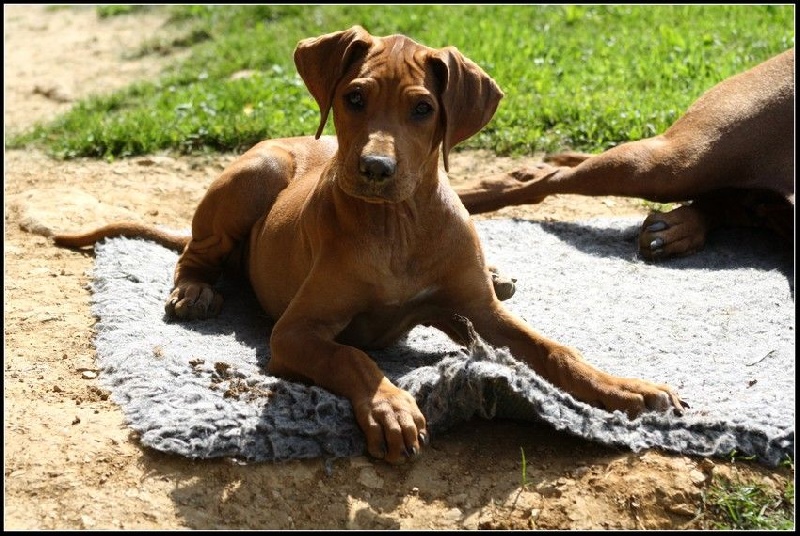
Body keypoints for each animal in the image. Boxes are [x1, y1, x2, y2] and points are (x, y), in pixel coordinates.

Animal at [53, 25, 684, 462]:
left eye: (424, 109)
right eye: (354, 99)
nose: (376, 169)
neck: (396, 224)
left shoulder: (479, 312)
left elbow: (554, 349)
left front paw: (627, 390)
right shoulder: (296, 332)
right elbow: (351, 357)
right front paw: (392, 407)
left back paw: (500, 274)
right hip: (255, 173)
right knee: (195, 251)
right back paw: (193, 292)